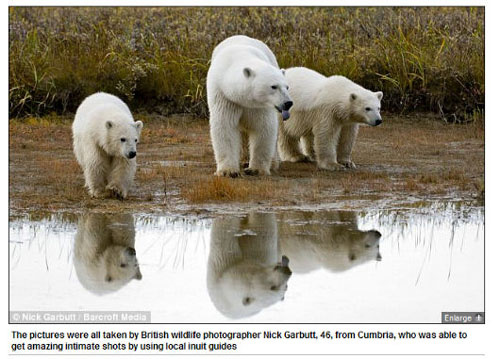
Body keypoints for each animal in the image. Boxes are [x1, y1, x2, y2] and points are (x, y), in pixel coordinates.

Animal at [207, 34, 292, 178]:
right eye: (273, 86)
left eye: (287, 87)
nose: (288, 103)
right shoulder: (225, 97)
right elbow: (225, 126)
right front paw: (228, 171)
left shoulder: (258, 106)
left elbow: (263, 127)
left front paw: (255, 169)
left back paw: (272, 163)